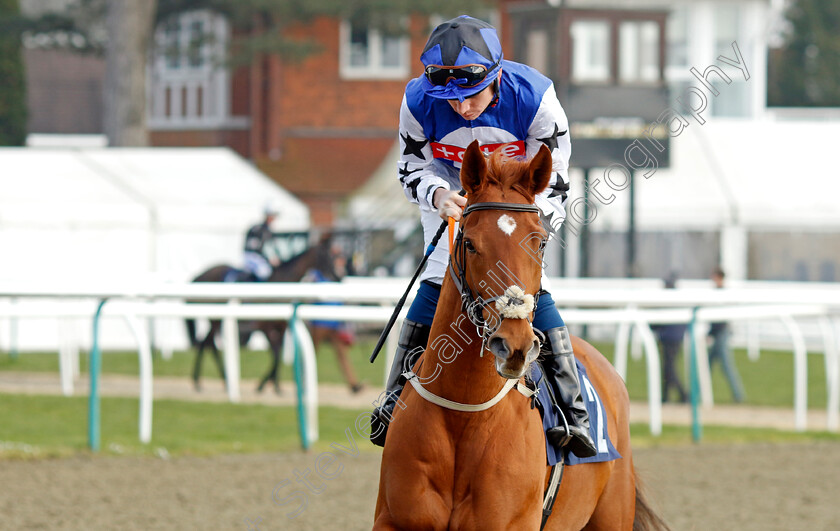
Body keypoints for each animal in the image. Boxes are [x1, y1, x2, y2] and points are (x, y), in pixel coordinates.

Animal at [378, 142, 668, 531]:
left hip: (613, 513)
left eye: (540, 243)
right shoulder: (393, 519)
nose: (513, 344)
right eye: (470, 243)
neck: (464, 414)